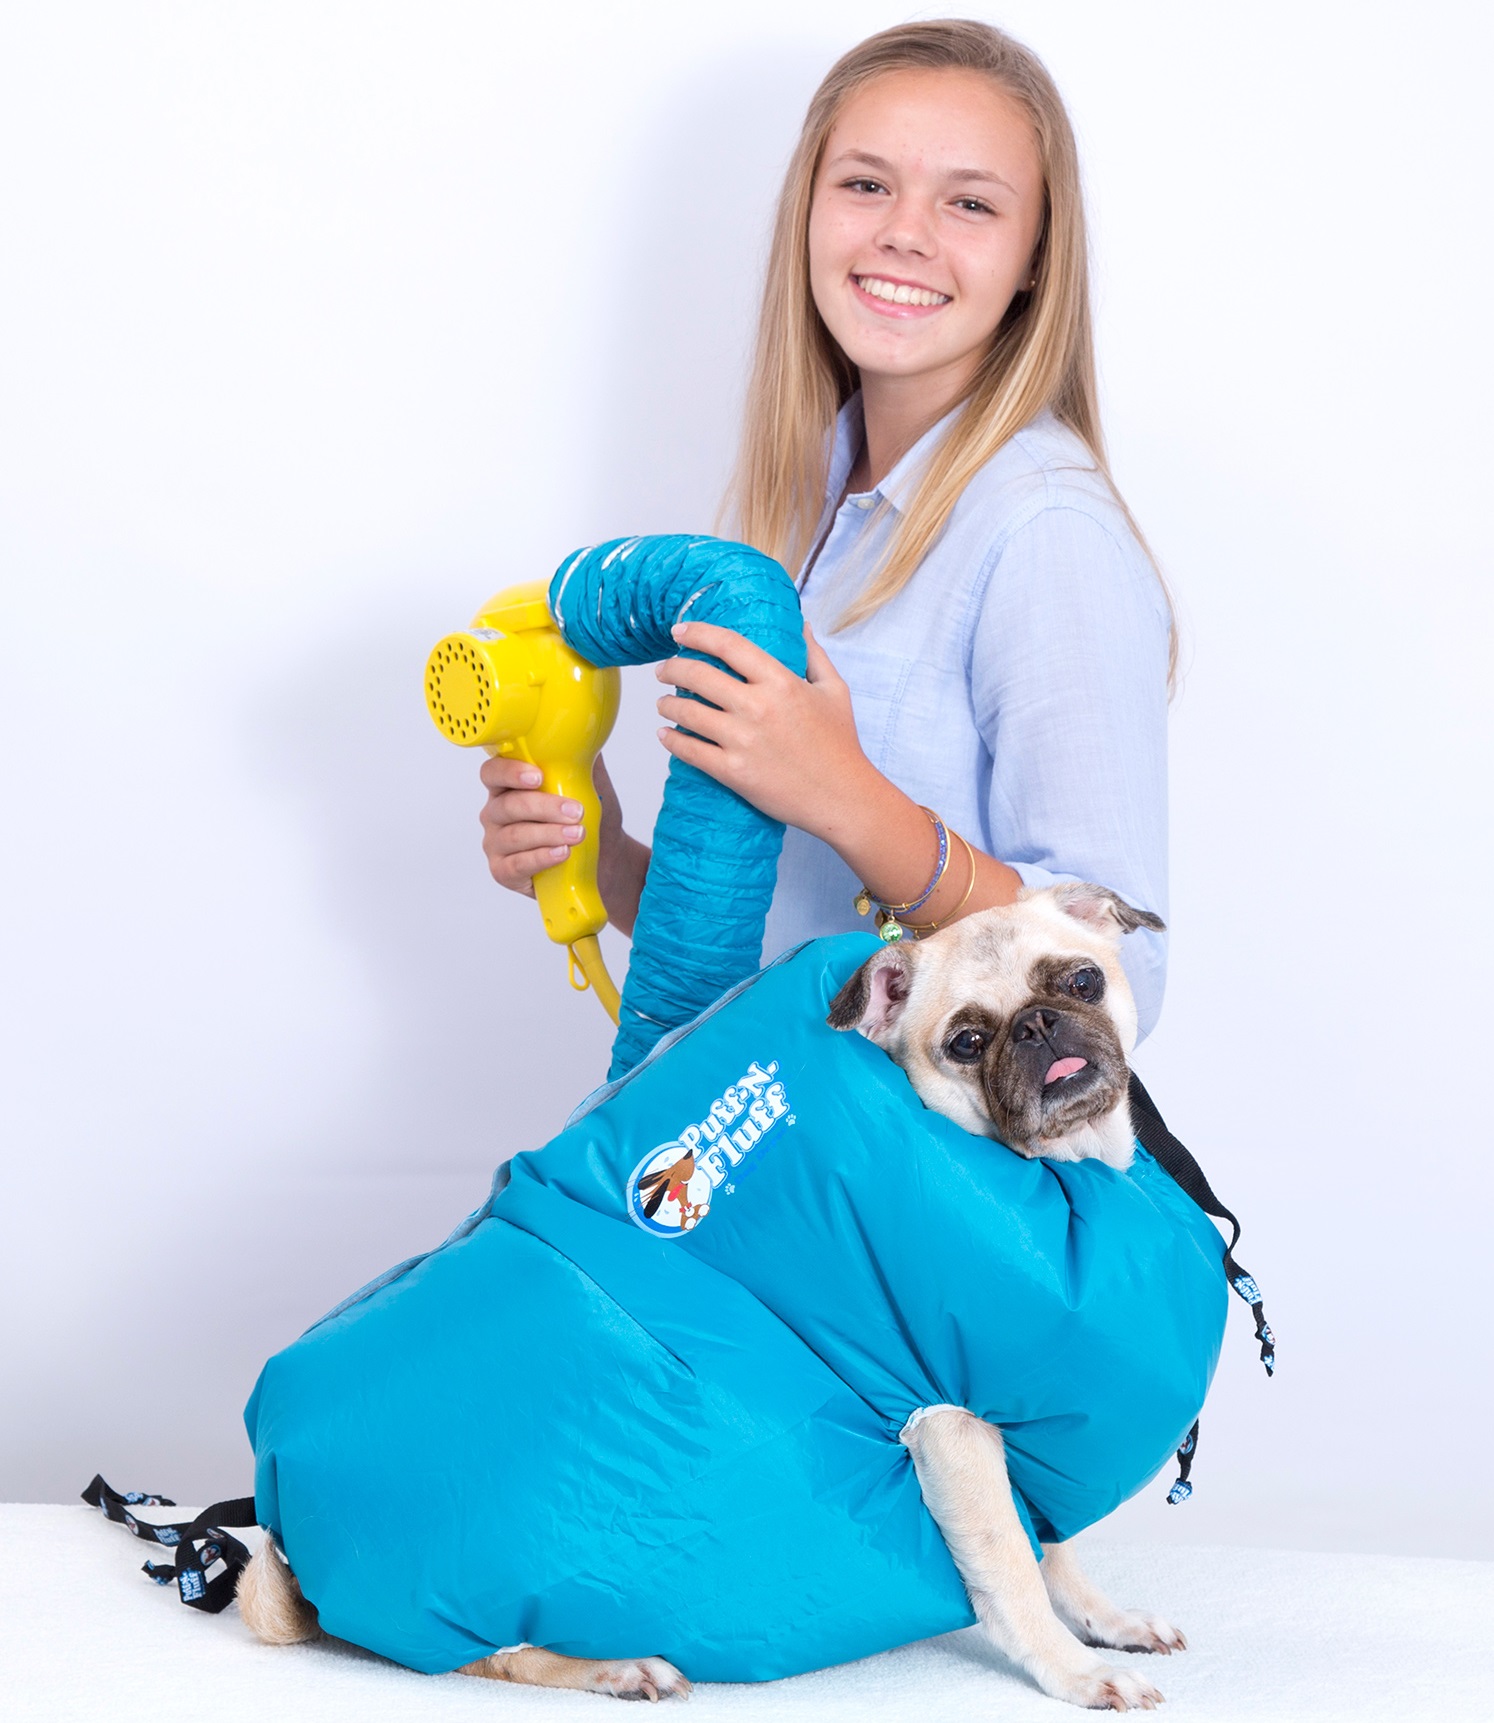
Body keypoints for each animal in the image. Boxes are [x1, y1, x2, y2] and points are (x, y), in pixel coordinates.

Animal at [242, 889, 1178, 1709]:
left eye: (1082, 980)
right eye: (968, 1040)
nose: (1038, 1023)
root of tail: (279, 1515)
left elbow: (1053, 1551)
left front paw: (1105, 1620)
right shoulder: (950, 1417)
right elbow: (1013, 1566)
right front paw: (1076, 1672)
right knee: (496, 1654)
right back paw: (618, 1667)